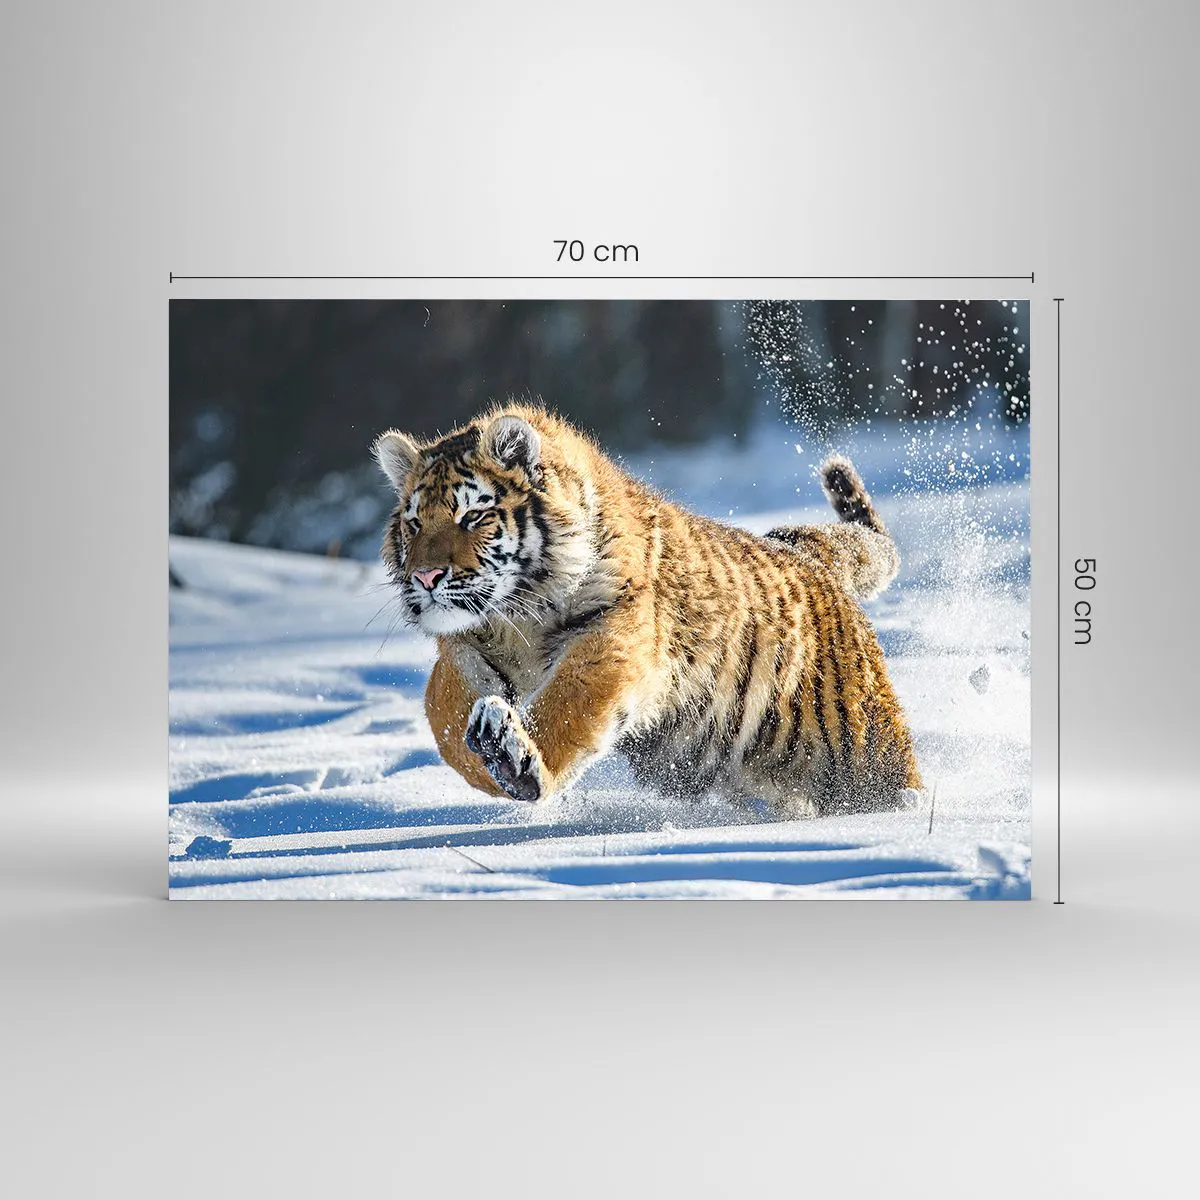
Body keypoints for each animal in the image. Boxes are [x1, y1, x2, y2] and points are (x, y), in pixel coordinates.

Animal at [373, 403, 921, 819]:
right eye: (415, 523)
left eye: (474, 515)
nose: (425, 577)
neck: (517, 615)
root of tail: (807, 552)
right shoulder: (463, 648)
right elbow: (444, 719)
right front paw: (486, 752)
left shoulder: (612, 637)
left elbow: (566, 705)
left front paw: (516, 761)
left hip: (862, 747)